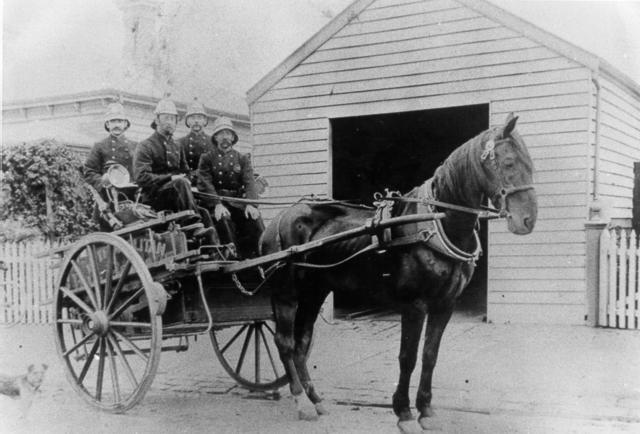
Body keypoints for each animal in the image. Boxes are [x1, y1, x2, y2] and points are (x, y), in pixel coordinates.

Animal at [258, 113, 536, 432]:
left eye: (530, 164)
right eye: (509, 163)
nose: (528, 220)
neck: (435, 223)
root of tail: (278, 219)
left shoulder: (445, 304)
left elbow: (430, 356)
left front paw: (426, 410)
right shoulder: (414, 304)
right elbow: (408, 357)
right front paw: (403, 413)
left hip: (314, 291)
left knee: (302, 341)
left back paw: (315, 399)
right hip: (287, 293)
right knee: (285, 342)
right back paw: (301, 401)